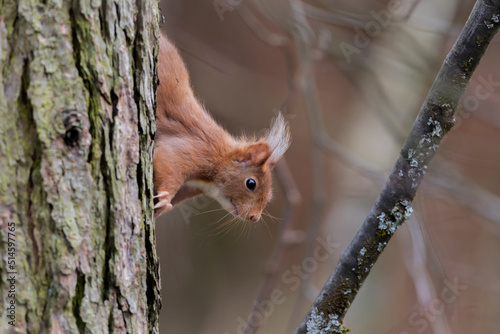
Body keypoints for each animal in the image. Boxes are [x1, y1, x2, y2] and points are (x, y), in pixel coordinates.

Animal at [154, 34, 292, 222]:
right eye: (251, 183)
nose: (254, 217)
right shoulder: (195, 150)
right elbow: (168, 161)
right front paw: (164, 199)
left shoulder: (189, 187)